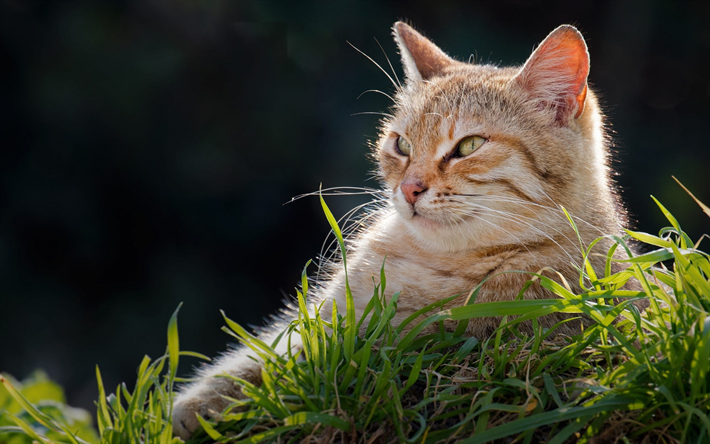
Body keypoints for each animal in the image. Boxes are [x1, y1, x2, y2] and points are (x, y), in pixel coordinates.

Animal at [172, 20, 628, 438]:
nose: (408, 189)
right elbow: (246, 363)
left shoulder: (369, 346)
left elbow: (275, 374)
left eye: (469, 146)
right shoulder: (312, 322)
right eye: (401, 145)